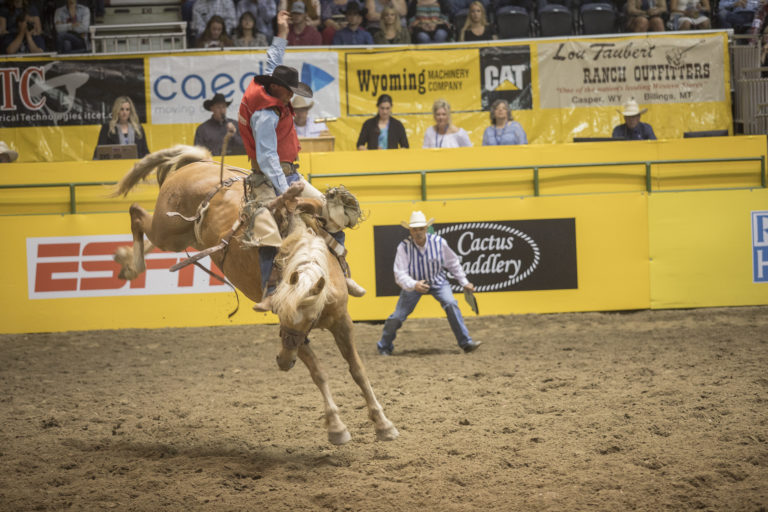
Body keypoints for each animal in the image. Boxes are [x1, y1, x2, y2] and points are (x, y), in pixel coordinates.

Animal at [111, 144, 400, 444]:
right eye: (282, 318)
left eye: (311, 321)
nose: (283, 362)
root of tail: (199, 164)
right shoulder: (289, 327)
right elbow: (319, 373)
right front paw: (336, 427)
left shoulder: (340, 321)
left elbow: (357, 369)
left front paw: (383, 423)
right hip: (167, 229)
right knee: (136, 214)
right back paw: (131, 265)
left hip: (183, 237)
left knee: (146, 229)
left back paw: (128, 262)